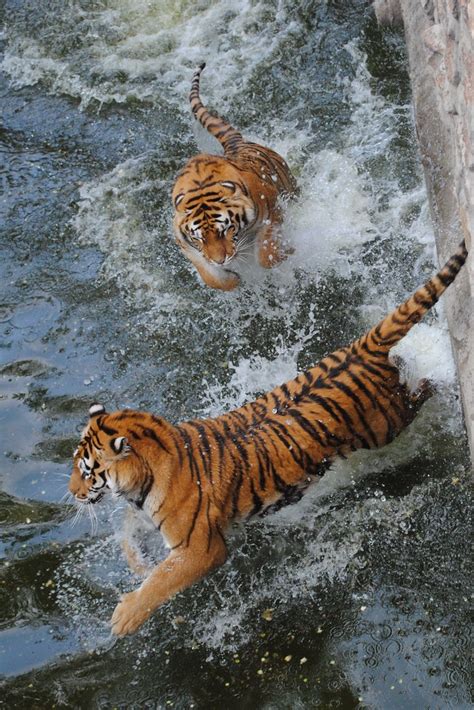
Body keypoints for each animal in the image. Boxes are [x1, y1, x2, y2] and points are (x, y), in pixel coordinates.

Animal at [68, 242, 468, 636]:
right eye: (77, 465)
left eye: (88, 471)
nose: (73, 494)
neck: (144, 478)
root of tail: (361, 347)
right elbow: (128, 531)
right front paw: (137, 564)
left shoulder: (200, 549)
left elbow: (163, 579)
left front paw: (124, 617)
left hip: (388, 422)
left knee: (418, 391)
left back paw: (437, 379)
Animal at [171, 62, 296, 290]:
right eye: (199, 239)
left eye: (225, 230)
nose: (220, 261)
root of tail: (235, 145)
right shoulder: (185, 244)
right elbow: (211, 278)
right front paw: (233, 280)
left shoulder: (274, 211)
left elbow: (267, 253)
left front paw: (285, 252)